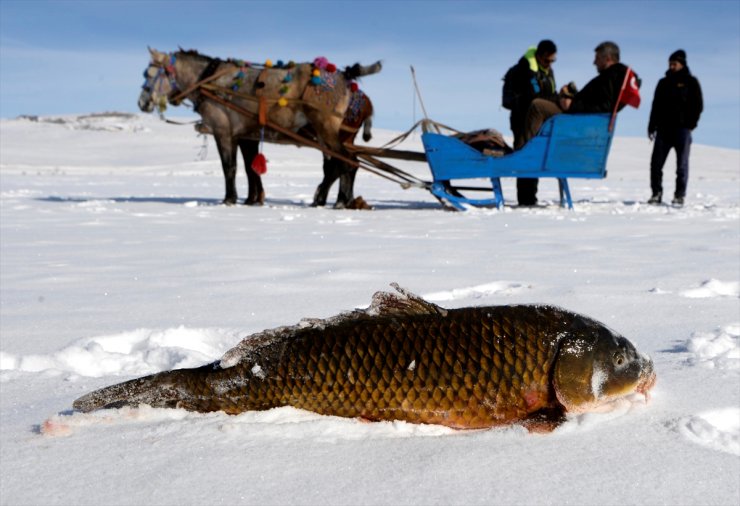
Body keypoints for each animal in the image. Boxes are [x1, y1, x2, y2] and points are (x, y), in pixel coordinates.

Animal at [138, 50, 382, 209]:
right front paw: (253, 199)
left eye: (148, 74)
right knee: (346, 163)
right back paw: (340, 200)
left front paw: (230, 199)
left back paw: (331, 199)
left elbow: (230, 167)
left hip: (327, 129)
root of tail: (345, 76)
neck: (208, 80)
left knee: (344, 162)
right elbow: (249, 168)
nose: (142, 103)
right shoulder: (246, 135)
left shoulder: (223, 130)